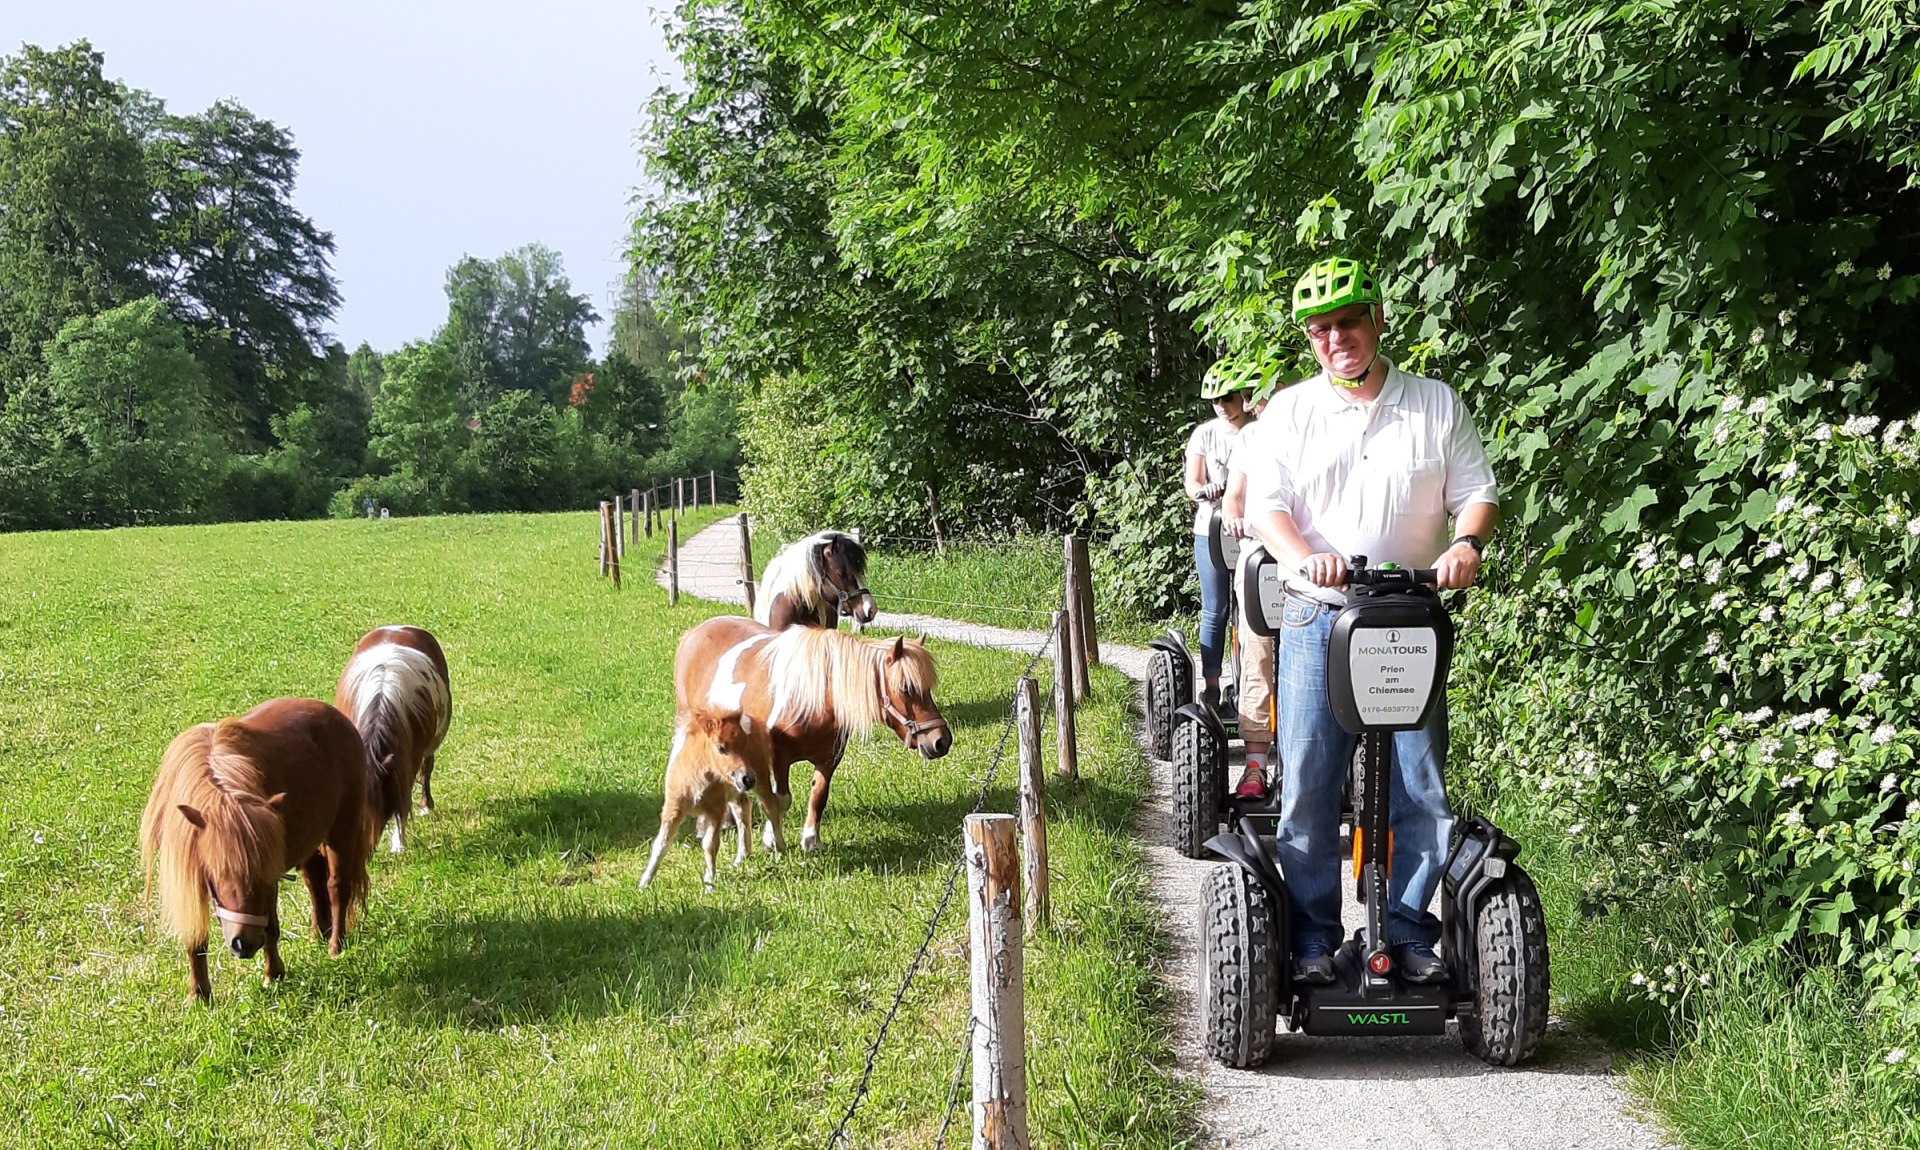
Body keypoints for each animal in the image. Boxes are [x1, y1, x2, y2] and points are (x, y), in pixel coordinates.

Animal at [139, 691, 374, 1006]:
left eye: (260, 876)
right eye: (219, 874)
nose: (245, 944)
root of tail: (336, 716)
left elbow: (271, 926)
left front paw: (273, 974)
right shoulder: (190, 874)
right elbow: (195, 935)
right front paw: (199, 995)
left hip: (341, 831)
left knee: (338, 886)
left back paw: (335, 946)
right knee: (315, 881)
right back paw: (318, 934)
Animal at [332, 625, 451, 848]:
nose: (368, 846)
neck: (381, 700)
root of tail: (398, 627)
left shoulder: (407, 761)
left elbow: (404, 795)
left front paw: (398, 842)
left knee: (426, 769)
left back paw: (425, 805)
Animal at [668, 622, 952, 856]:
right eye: (906, 688)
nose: (941, 741)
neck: (813, 699)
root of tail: (693, 633)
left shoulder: (829, 759)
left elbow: (818, 796)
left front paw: (811, 841)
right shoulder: (779, 759)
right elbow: (779, 800)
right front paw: (771, 841)